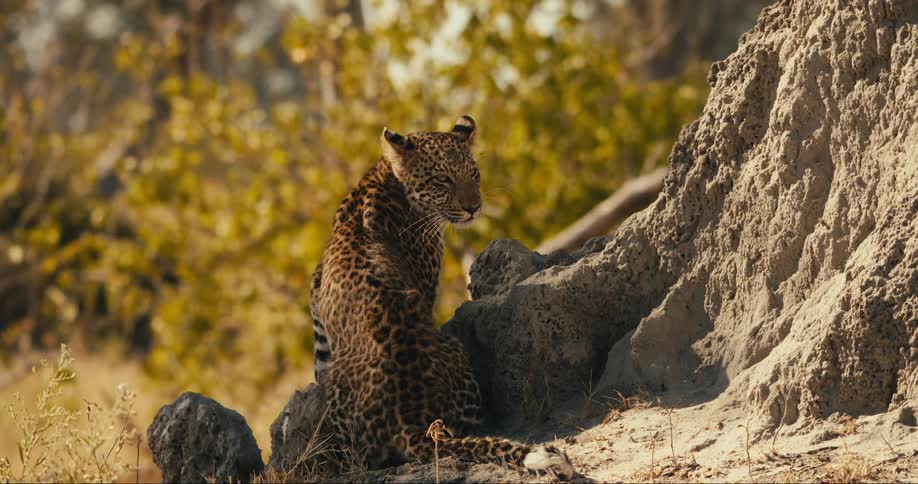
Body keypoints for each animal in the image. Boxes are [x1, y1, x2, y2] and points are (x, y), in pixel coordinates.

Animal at [308, 115, 574, 479]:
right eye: (442, 180)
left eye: (474, 174)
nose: (473, 207)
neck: (386, 175)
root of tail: (411, 420)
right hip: (454, 350)